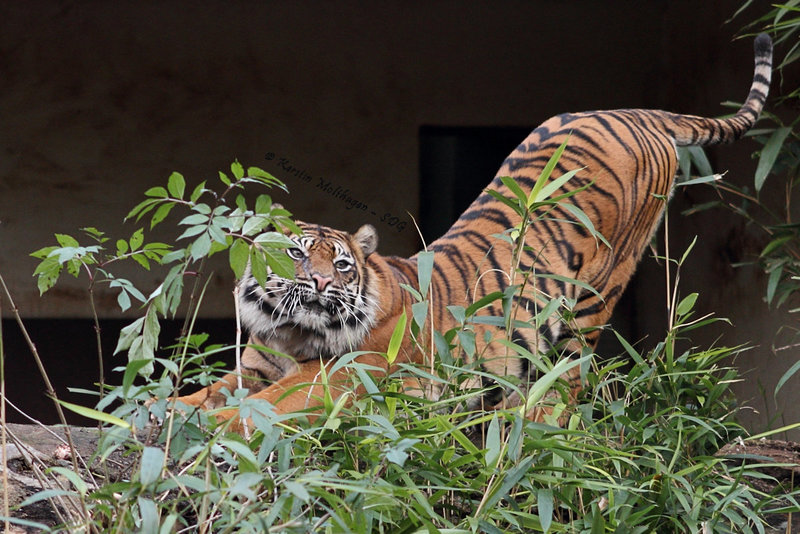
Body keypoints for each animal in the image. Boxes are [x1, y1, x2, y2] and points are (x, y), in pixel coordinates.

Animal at [173, 33, 768, 430]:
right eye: (297, 255)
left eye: (340, 265)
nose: (320, 285)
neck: (293, 333)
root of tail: (634, 111)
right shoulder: (256, 367)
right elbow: (205, 393)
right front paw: (162, 412)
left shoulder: (343, 372)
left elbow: (267, 406)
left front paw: (216, 432)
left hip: (597, 294)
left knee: (570, 379)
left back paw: (535, 428)